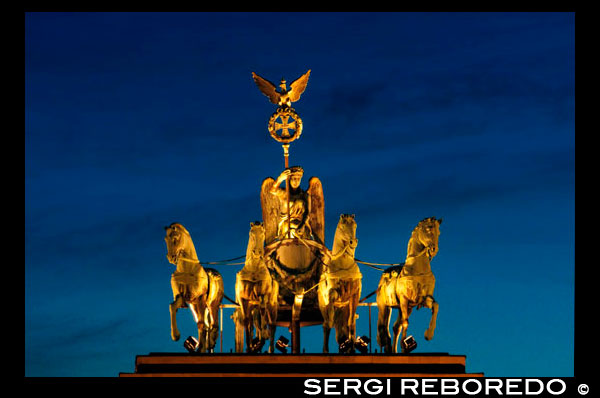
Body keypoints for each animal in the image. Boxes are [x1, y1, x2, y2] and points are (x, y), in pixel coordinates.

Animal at [164, 222, 225, 352]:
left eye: (175, 238)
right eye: (165, 239)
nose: (171, 258)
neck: (187, 269)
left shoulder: (200, 298)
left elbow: (201, 324)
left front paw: (201, 347)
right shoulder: (183, 297)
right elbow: (172, 307)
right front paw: (175, 335)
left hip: (213, 304)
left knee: (213, 324)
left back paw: (210, 342)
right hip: (194, 306)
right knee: (206, 324)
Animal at [236, 222, 280, 352]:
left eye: (263, 233)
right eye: (251, 233)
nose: (257, 252)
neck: (253, 269)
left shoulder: (263, 295)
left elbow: (262, 311)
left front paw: (263, 334)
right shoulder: (244, 300)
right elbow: (247, 321)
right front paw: (249, 346)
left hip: (272, 305)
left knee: (272, 324)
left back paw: (270, 347)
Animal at [316, 213, 364, 352]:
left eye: (355, 225)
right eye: (342, 226)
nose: (353, 242)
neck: (344, 265)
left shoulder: (354, 296)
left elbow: (351, 324)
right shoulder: (332, 294)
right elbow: (329, 321)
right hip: (324, 307)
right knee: (326, 325)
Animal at [378, 219, 442, 352]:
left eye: (439, 232)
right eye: (428, 228)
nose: (434, 249)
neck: (418, 269)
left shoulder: (424, 299)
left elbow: (436, 306)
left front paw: (429, 334)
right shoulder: (404, 300)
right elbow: (405, 323)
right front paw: (405, 344)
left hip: (407, 308)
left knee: (395, 327)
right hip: (384, 307)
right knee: (385, 328)